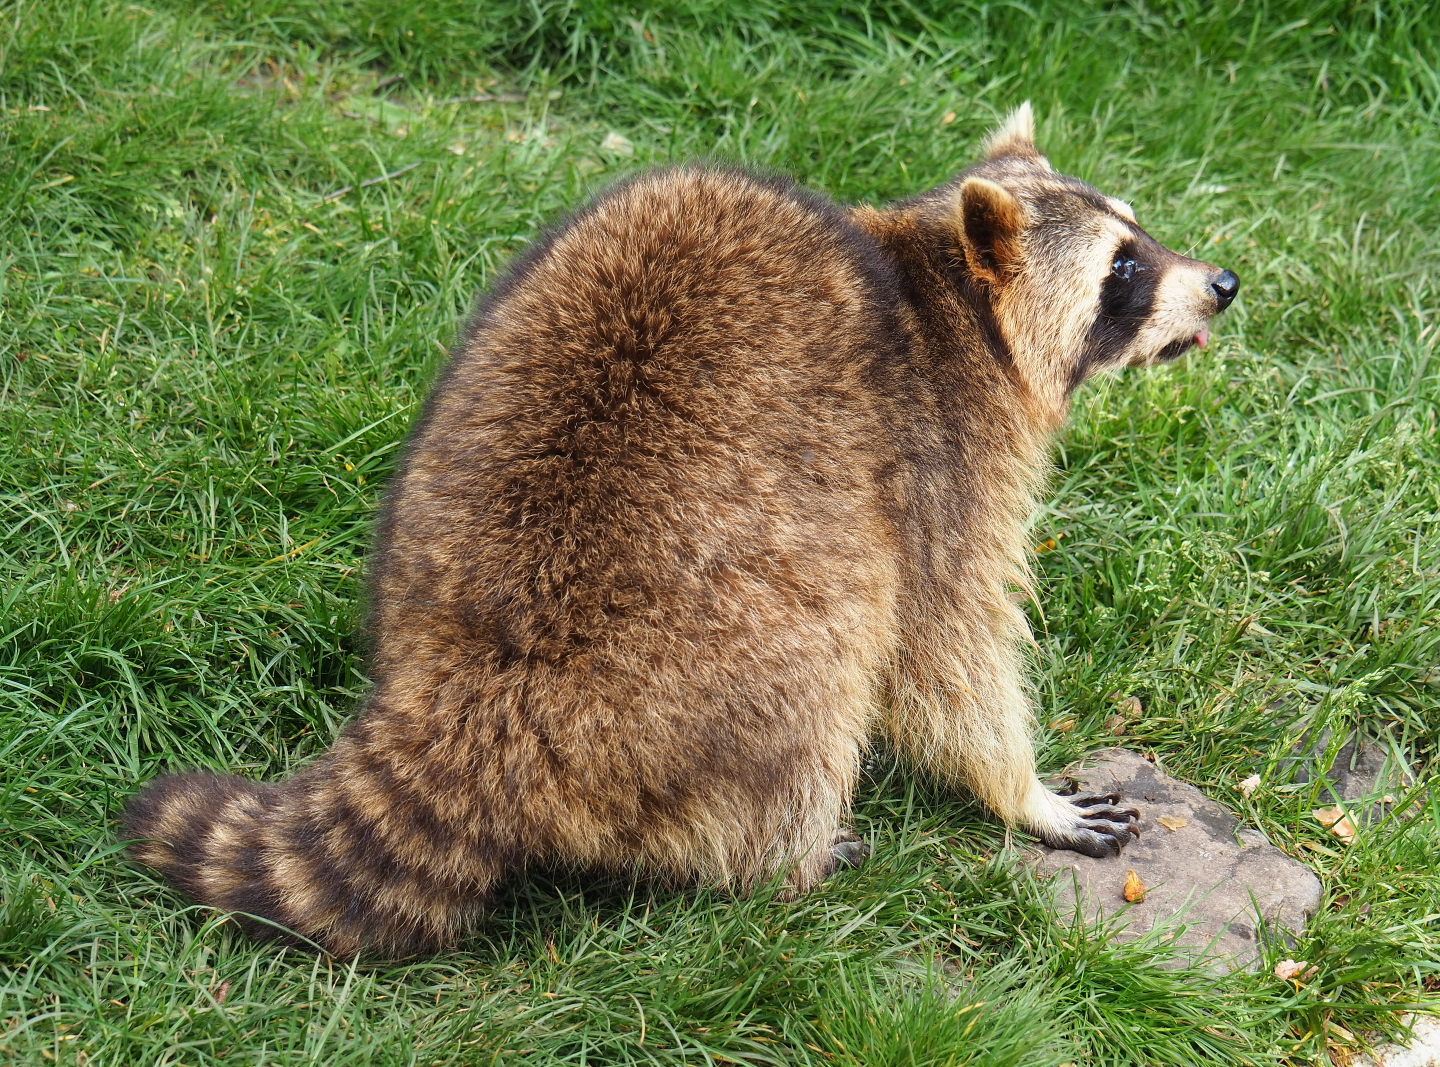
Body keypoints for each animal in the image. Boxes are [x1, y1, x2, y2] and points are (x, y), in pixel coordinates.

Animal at [124, 104, 1239, 957]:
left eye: (1141, 235)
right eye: (1123, 270)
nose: (1224, 282)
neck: (945, 283)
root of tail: (466, 690)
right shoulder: (938, 457)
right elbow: (946, 646)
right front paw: (1019, 789)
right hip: (711, 673)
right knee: (830, 660)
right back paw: (779, 855)